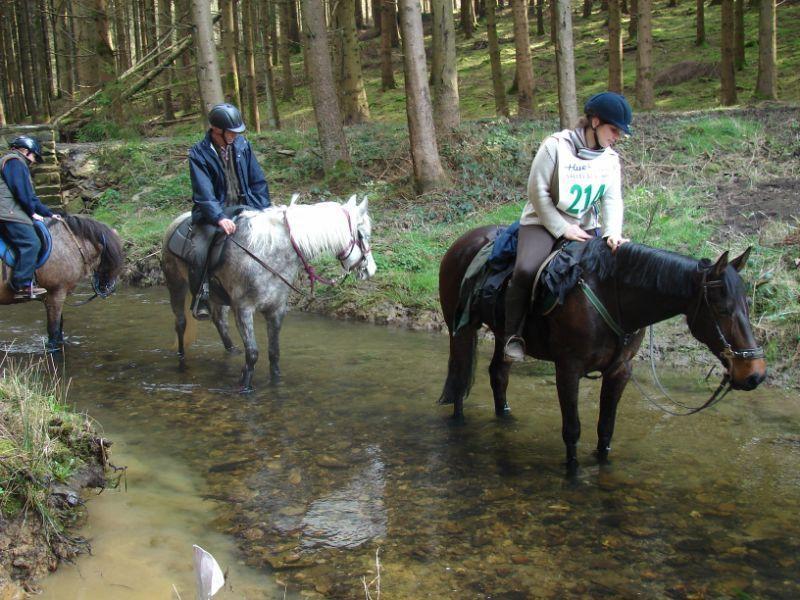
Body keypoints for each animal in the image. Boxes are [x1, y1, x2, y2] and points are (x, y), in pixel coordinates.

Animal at [0, 216, 123, 350]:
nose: (109, 288)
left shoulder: (50, 297)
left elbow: (59, 329)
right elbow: (54, 331)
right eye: (114, 258)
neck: (67, 243)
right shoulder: (56, 294)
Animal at [440, 227, 764, 466]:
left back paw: (506, 419)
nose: (755, 373)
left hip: (502, 336)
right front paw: (572, 473)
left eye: (747, 305)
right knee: (459, 376)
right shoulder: (568, 369)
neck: (611, 295)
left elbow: (605, 430)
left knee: (498, 374)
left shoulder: (620, 371)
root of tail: (462, 241)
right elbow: (572, 430)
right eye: (722, 309)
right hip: (461, 329)